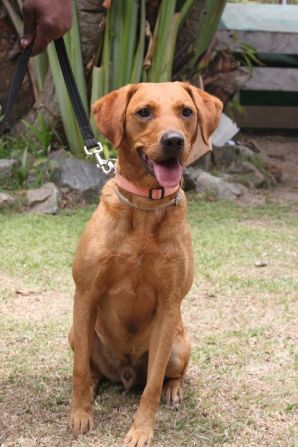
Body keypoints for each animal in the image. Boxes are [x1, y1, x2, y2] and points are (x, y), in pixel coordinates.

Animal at [68, 82, 221, 446]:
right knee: (90, 368)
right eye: (144, 112)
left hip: (180, 343)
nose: (174, 141)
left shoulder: (169, 305)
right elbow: (79, 368)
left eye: (186, 111)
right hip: (75, 333)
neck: (145, 210)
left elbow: (152, 384)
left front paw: (141, 430)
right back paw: (92, 387)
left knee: (169, 375)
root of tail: (124, 375)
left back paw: (174, 390)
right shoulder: (85, 294)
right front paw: (80, 414)